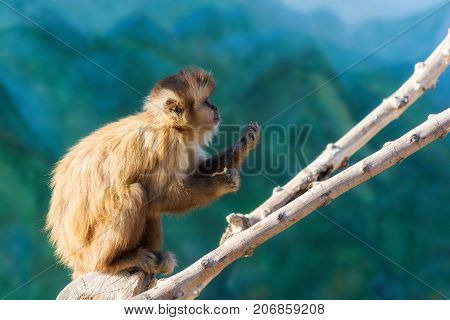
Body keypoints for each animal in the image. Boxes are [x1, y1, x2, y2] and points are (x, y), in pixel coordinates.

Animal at [45, 68, 260, 280]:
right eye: (206, 101)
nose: (214, 107)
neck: (168, 125)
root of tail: (75, 259)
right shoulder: (167, 143)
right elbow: (160, 196)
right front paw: (221, 183)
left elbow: (197, 170)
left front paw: (244, 143)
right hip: (90, 252)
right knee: (138, 193)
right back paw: (112, 263)